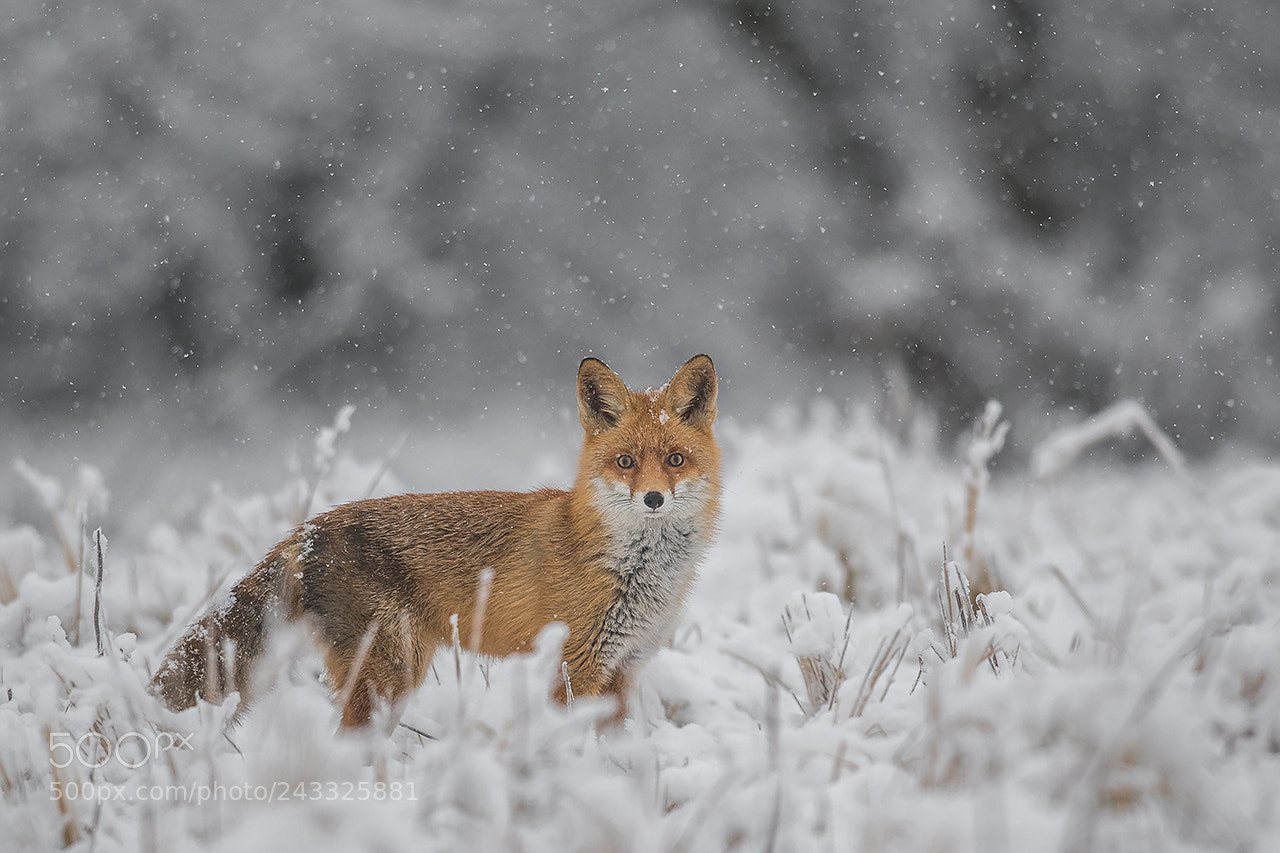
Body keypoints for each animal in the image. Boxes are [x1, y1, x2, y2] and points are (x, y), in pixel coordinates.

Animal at [150, 354, 720, 729]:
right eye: (625, 461)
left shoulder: (624, 669)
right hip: (392, 675)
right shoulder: (575, 669)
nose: (653, 499)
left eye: (675, 460)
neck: (637, 572)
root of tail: (310, 529)